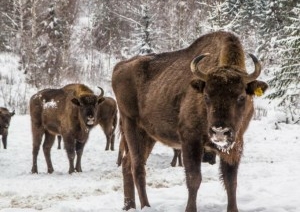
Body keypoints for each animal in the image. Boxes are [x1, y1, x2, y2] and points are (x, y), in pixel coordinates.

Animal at [111, 30, 268, 212]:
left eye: (241, 97)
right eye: (206, 96)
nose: (220, 132)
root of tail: (119, 66)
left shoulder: (235, 144)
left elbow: (231, 181)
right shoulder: (190, 140)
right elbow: (194, 179)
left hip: (148, 135)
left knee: (127, 164)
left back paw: (129, 206)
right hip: (131, 125)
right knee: (137, 167)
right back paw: (145, 206)